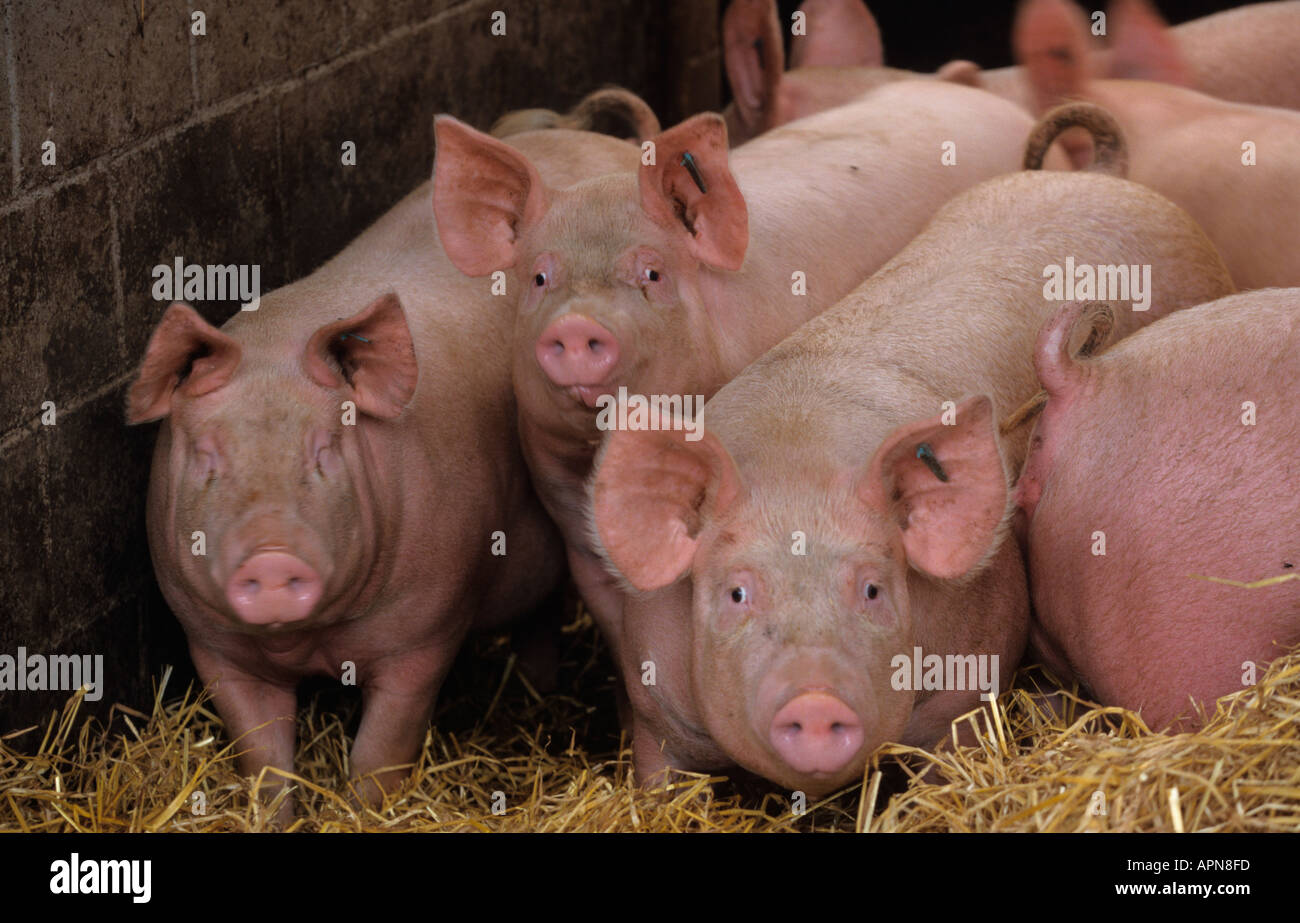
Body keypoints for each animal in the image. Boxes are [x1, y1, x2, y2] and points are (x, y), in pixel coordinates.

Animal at [126, 127, 640, 814]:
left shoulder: (429, 624)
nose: (271, 556)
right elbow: (262, 756)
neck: (309, 640)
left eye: (324, 451)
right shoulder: (210, 642)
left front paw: (367, 809)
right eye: (210, 456)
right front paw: (276, 815)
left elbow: (383, 745)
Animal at [589, 165, 1234, 794]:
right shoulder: (655, 713)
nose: (815, 700)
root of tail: (1106, 177)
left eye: (873, 589)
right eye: (737, 593)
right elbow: (659, 786)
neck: (796, 462)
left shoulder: (968, 680)